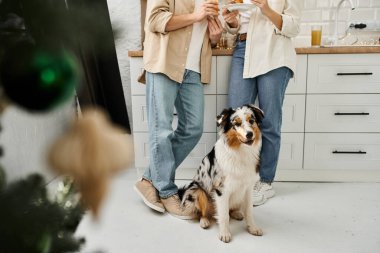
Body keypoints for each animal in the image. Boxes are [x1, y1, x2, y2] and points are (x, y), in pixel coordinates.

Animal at [178, 104, 264, 243]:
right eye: (237, 124)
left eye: (251, 120)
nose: (250, 134)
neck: (240, 152)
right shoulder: (221, 189)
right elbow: (223, 215)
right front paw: (224, 234)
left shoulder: (248, 188)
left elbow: (249, 211)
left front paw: (253, 228)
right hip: (197, 190)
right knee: (203, 212)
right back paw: (204, 221)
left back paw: (236, 213)